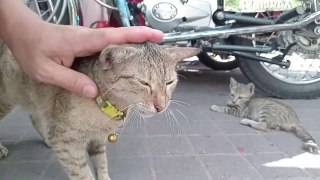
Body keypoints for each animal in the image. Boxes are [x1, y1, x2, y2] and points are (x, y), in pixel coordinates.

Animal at [0, 41, 200, 180]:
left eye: (169, 82)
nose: (161, 106)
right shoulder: (67, 145)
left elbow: (102, 163)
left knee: (35, 116)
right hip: (7, 98)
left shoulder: (97, 141)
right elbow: (82, 174)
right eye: (143, 83)